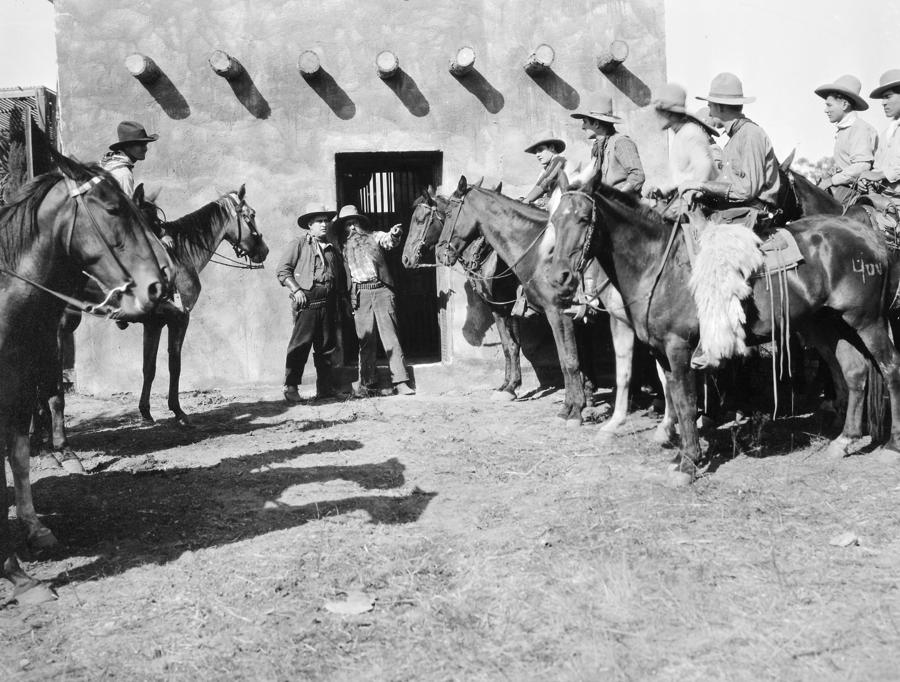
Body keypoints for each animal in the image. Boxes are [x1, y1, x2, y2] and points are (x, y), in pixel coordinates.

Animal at [544, 173, 900, 486]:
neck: (656, 264)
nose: (559, 277)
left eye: (583, 219)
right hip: (828, 323)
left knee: (889, 368)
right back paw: (845, 440)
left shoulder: (679, 347)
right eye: (554, 220)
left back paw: (892, 445)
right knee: (854, 372)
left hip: (867, 320)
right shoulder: (662, 351)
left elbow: (686, 402)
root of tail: (866, 234)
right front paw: (681, 453)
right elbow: (676, 399)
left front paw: (688, 464)